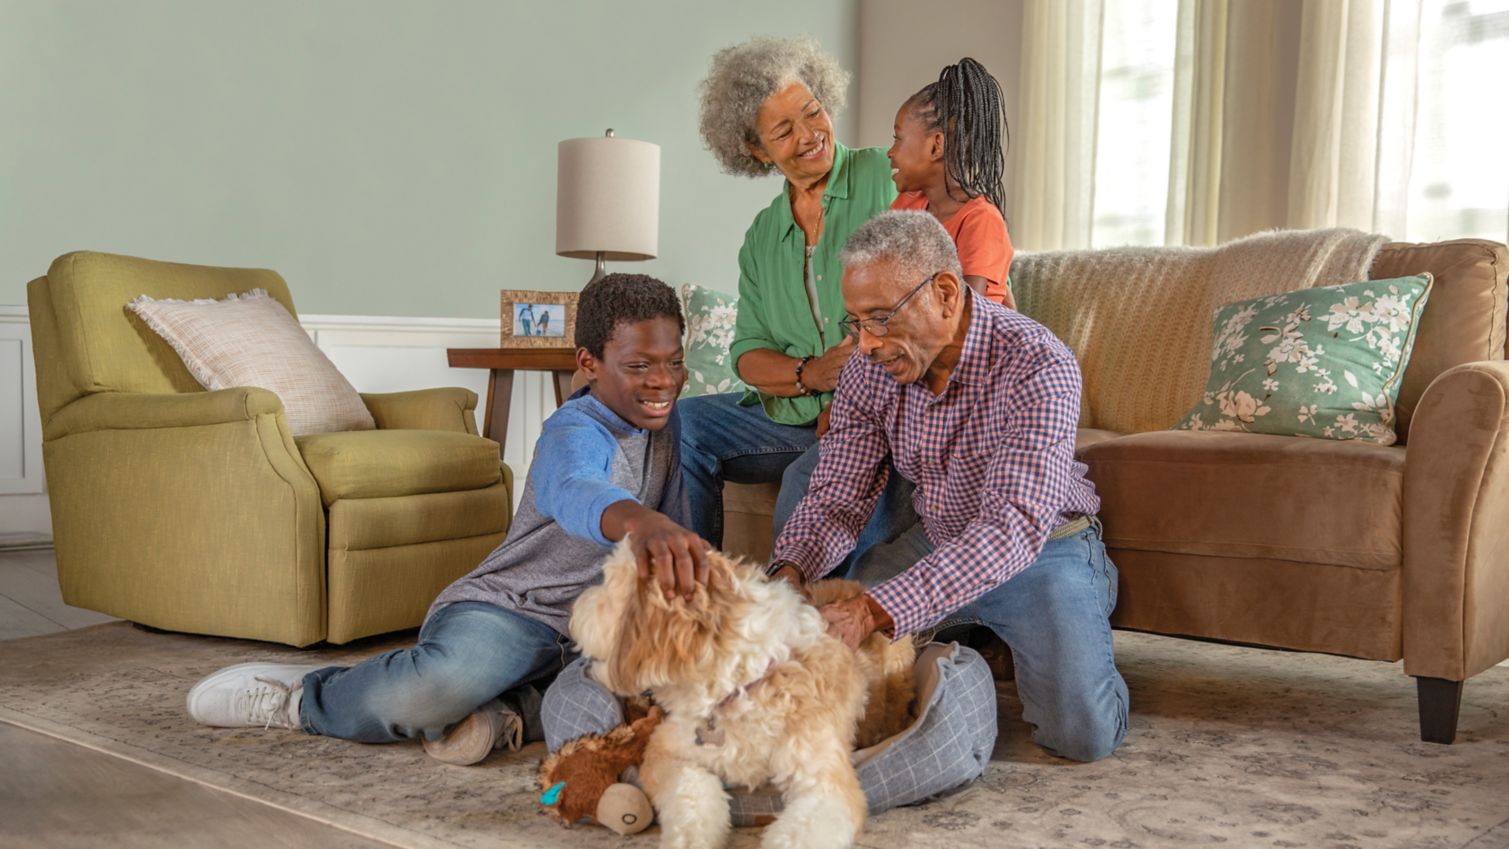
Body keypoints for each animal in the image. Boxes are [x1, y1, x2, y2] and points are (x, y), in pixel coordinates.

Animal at [570, 545, 911, 849]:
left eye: (607, 586)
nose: (575, 608)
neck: (744, 683)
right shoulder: (667, 752)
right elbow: (693, 795)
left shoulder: (826, 784)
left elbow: (801, 832)